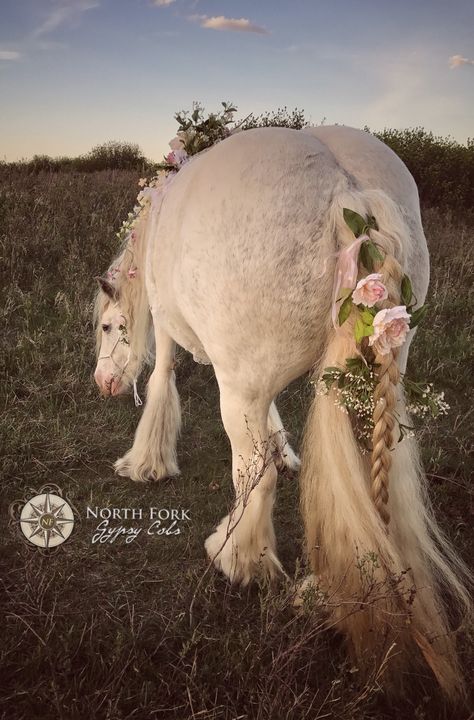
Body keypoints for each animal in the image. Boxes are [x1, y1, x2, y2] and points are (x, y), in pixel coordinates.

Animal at [93, 124, 470, 696]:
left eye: (108, 325)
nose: (103, 383)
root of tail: (346, 189)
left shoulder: (171, 326)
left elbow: (163, 380)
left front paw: (147, 462)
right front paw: (285, 449)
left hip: (240, 386)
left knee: (254, 476)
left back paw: (238, 558)